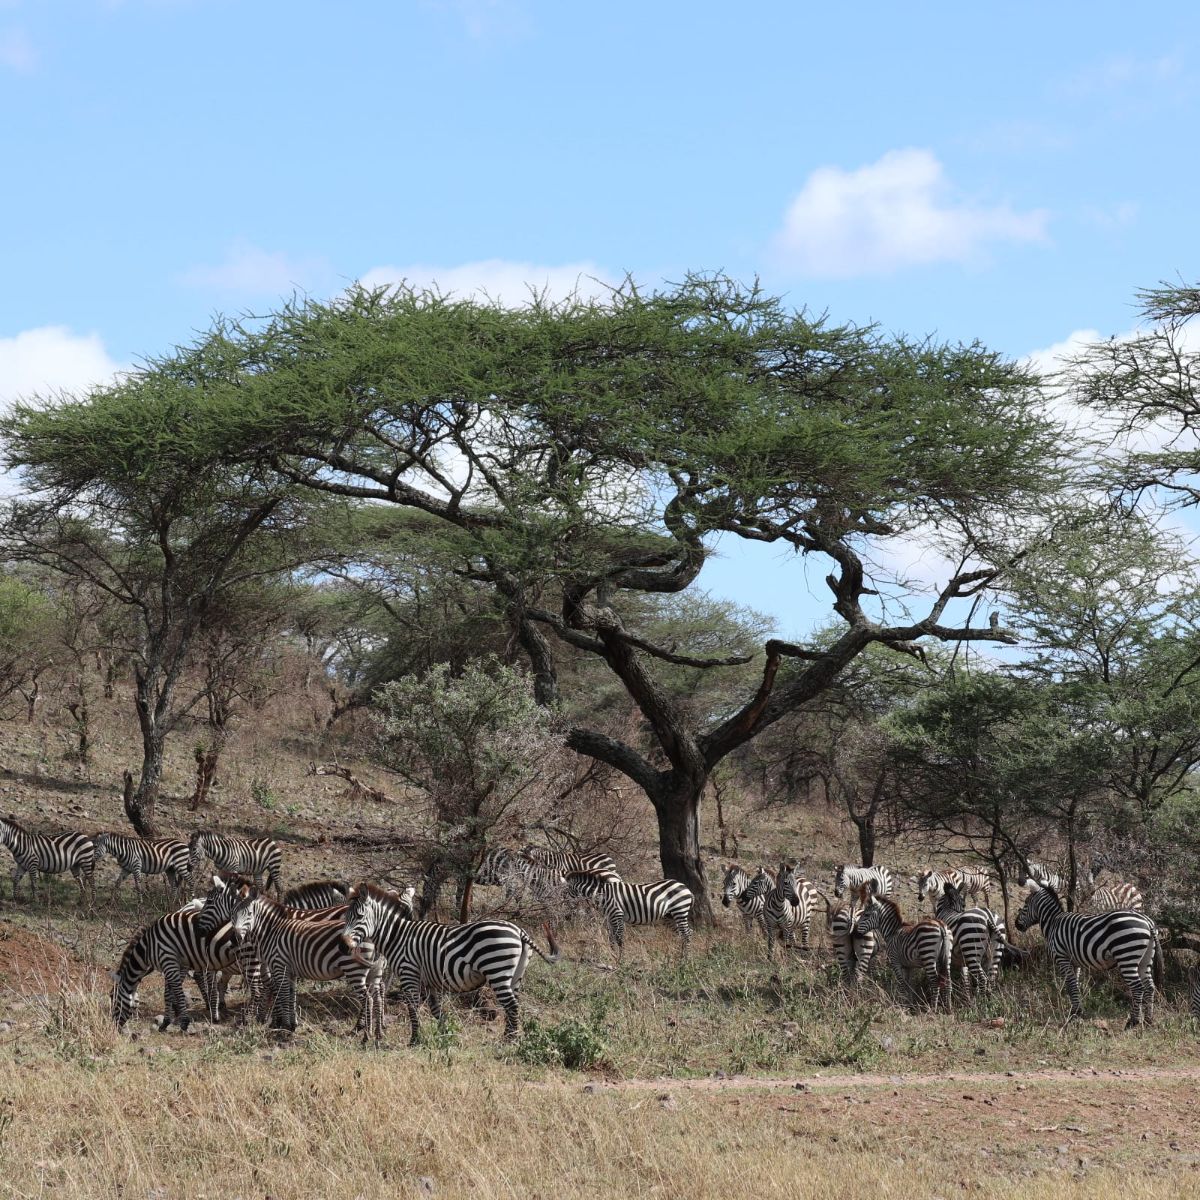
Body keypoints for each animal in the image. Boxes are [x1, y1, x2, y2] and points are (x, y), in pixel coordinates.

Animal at [110, 904, 263, 1030]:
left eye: (113, 998)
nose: (114, 1027)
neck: (148, 947)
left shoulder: (168, 960)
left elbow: (177, 992)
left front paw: (183, 1023)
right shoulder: (175, 964)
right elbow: (168, 993)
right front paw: (165, 1022)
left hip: (247, 956)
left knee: (256, 989)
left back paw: (249, 1019)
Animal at [340, 882, 560, 1043]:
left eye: (359, 916)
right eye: (345, 916)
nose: (343, 947)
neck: (398, 936)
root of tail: (518, 931)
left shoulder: (409, 972)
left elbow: (412, 1008)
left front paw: (415, 1039)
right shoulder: (427, 980)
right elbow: (436, 1010)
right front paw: (445, 1033)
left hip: (497, 969)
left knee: (512, 1005)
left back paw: (510, 1041)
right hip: (515, 975)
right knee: (514, 1004)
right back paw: (509, 1037)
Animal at [564, 873, 693, 960]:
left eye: (564, 893)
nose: (566, 917)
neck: (602, 895)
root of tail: (685, 887)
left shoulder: (617, 914)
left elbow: (619, 938)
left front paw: (621, 959)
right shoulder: (609, 918)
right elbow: (611, 938)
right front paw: (613, 956)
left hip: (680, 910)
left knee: (686, 934)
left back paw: (686, 960)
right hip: (670, 916)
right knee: (686, 933)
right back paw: (681, 956)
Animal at [1014, 883, 1161, 1028]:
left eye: (1026, 903)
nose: (1016, 925)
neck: (1053, 923)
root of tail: (1147, 920)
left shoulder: (1062, 957)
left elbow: (1071, 984)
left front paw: (1074, 1014)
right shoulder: (1074, 962)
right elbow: (1074, 985)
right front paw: (1076, 1011)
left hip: (1126, 956)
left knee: (1137, 987)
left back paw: (1133, 1022)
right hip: (1145, 958)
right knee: (1149, 986)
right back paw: (1148, 1020)